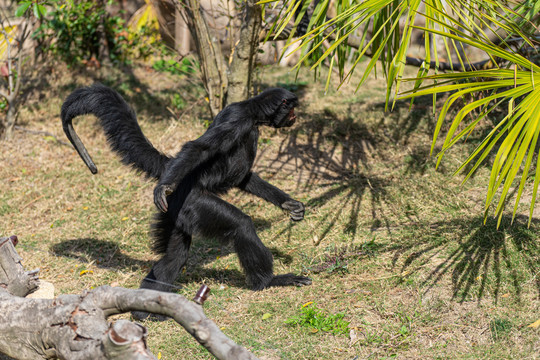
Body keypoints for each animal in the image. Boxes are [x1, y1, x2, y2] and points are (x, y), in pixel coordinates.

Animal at [61, 83, 312, 318]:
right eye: (291, 110)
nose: (295, 117)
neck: (251, 112)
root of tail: (169, 167)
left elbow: (244, 178)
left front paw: (289, 204)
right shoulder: (236, 120)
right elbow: (200, 147)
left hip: (175, 211)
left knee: (174, 257)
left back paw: (143, 309)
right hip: (194, 202)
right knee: (241, 225)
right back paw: (268, 281)